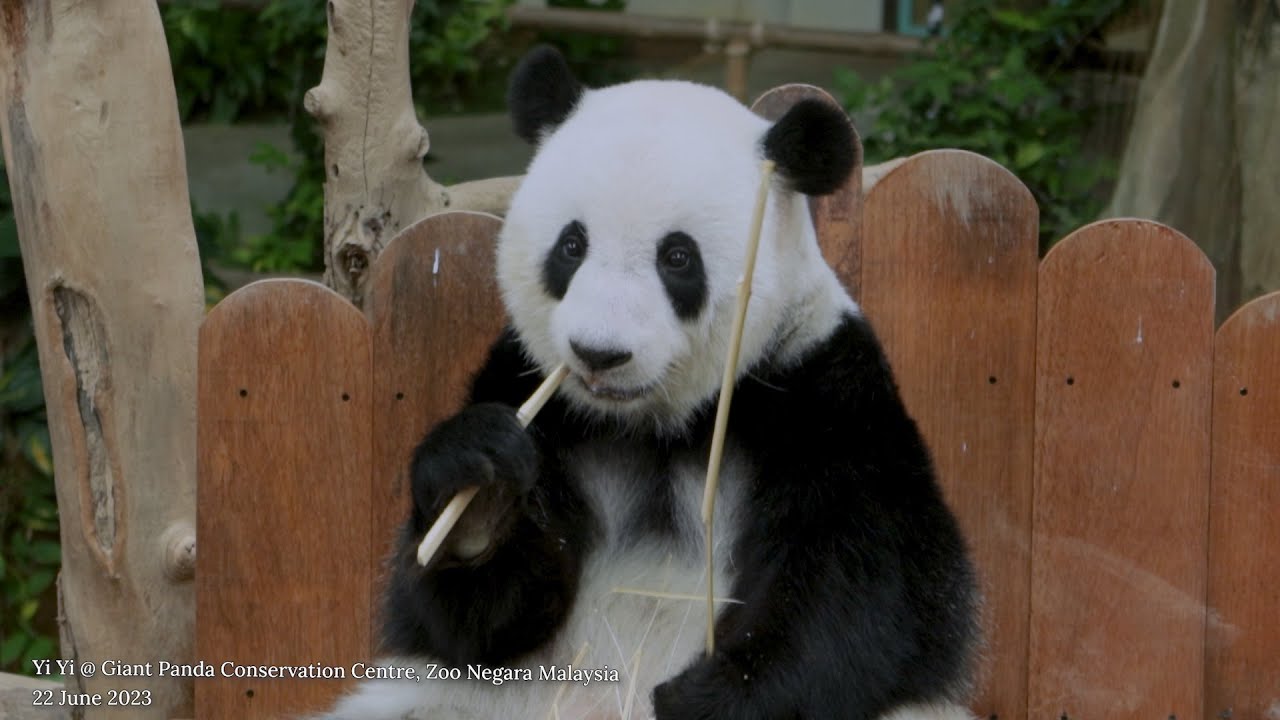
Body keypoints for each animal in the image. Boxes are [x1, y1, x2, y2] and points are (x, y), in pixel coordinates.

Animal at [317, 46, 980, 720]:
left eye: (677, 258)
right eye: (572, 245)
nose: (598, 354)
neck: (654, 423)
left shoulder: (821, 387)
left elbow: (869, 586)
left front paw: (706, 696)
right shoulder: (530, 391)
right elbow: (475, 623)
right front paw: (478, 496)